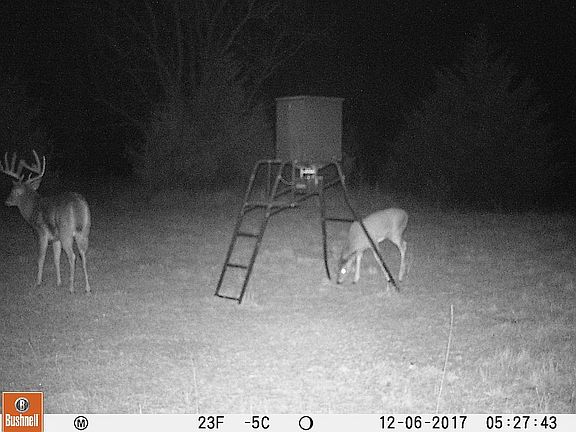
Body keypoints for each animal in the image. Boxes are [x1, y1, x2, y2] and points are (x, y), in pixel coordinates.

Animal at [1, 150, 91, 293]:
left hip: (66, 232)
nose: (6, 202)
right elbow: (56, 259)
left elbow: (41, 258)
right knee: (83, 254)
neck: (32, 210)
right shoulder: (55, 238)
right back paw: (87, 288)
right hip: (84, 230)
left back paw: (71, 288)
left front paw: (38, 282)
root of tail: (78, 204)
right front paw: (59, 282)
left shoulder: (40, 233)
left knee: (73, 256)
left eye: (13, 191)